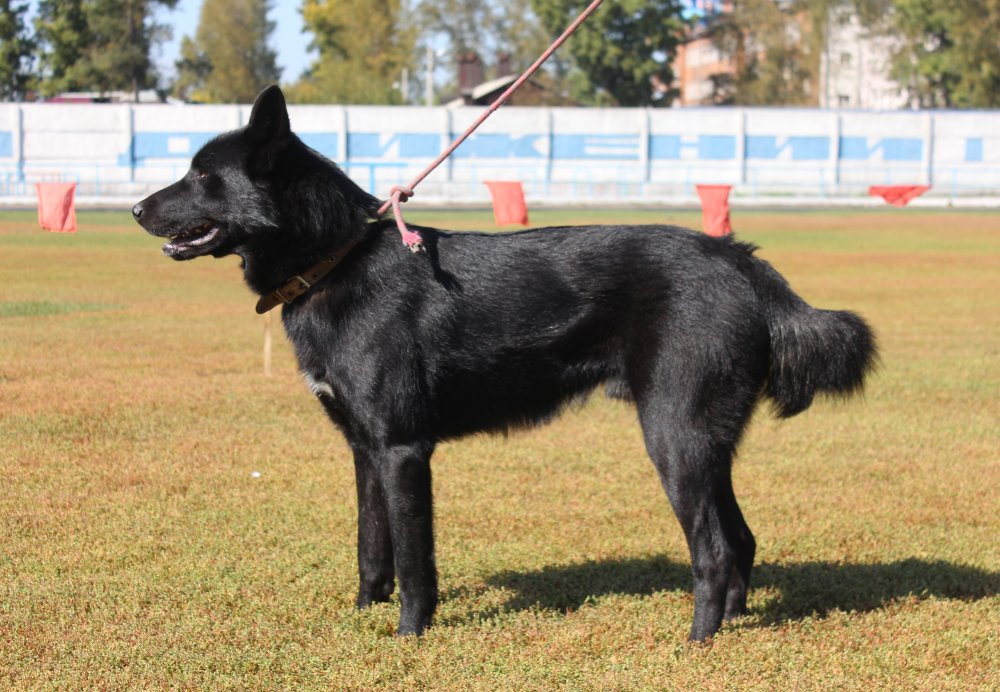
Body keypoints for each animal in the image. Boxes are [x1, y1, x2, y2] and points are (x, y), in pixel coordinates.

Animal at [133, 85, 876, 641]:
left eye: (203, 177)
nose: (138, 208)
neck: (337, 258)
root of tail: (740, 258)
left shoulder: (403, 450)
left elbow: (414, 562)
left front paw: (409, 636)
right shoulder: (365, 451)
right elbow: (371, 549)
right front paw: (362, 618)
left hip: (674, 438)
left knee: (716, 551)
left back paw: (696, 641)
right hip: (704, 443)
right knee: (741, 540)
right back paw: (732, 625)